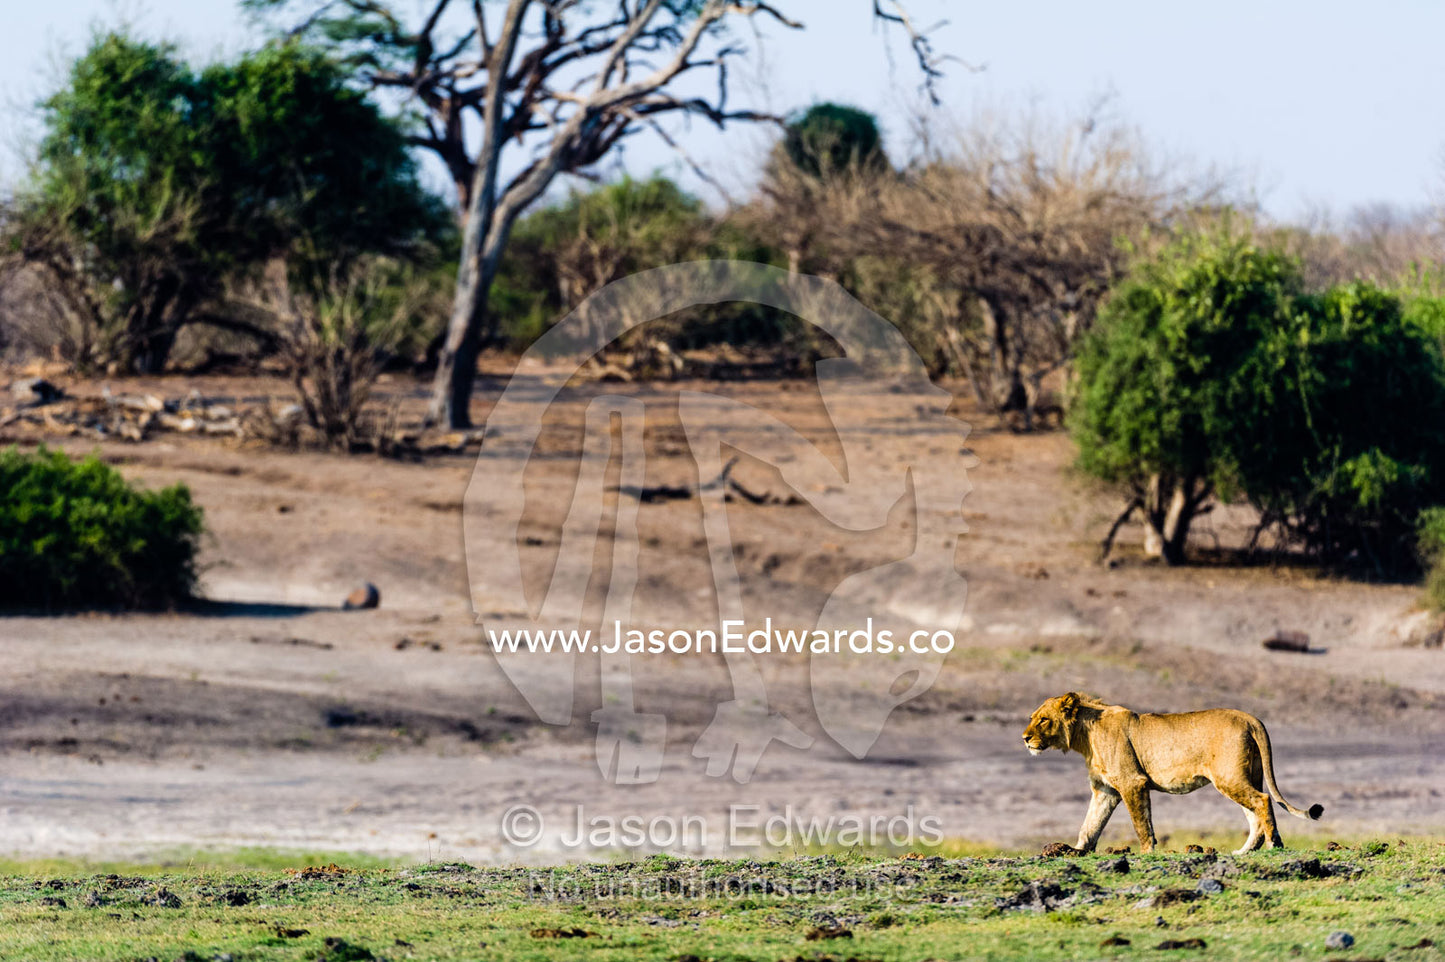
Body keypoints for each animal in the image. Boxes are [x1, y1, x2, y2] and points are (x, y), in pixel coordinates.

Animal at [1022, 692, 1323, 855]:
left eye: (1044, 720)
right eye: (1031, 718)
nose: (1024, 738)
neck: (1084, 735)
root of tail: (1250, 717)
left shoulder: (1133, 782)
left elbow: (1142, 825)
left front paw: (1146, 853)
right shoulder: (1105, 790)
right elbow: (1090, 825)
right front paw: (1077, 852)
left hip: (1229, 777)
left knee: (1263, 800)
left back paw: (1274, 844)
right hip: (1245, 776)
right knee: (1254, 813)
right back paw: (1245, 851)